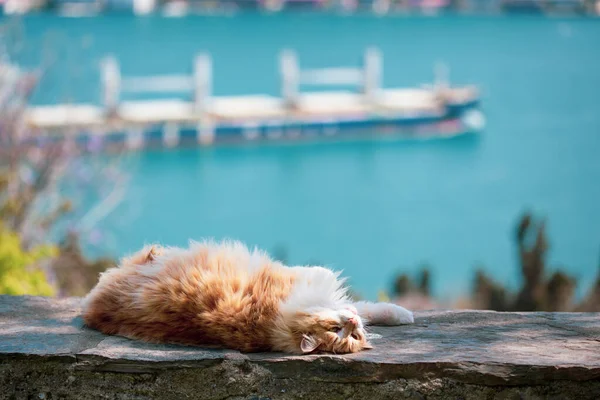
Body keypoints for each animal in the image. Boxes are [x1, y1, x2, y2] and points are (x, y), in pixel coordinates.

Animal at [82, 239, 414, 354]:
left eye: (354, 336)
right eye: (335, 330)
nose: (353, 323)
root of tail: (93, 309)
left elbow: (368, 307)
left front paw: (400, 315)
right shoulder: (305, 284)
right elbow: (335, 284)